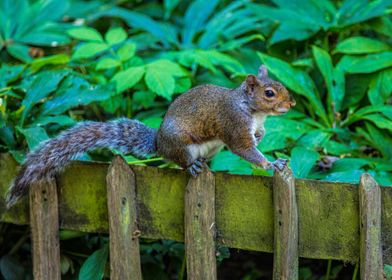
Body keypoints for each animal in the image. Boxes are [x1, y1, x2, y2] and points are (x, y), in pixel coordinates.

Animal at [6, 64, 294, 207]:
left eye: (282, 86)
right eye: (269, 93)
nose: (291, 104)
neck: (253, 111)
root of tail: (159, 142)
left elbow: (257, 137)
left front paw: (262, 137)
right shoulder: (233, 124)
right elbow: (244, 149)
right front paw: (271, 163)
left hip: (212, 148)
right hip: (182, 146)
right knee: (181, 162)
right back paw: (193, 166)